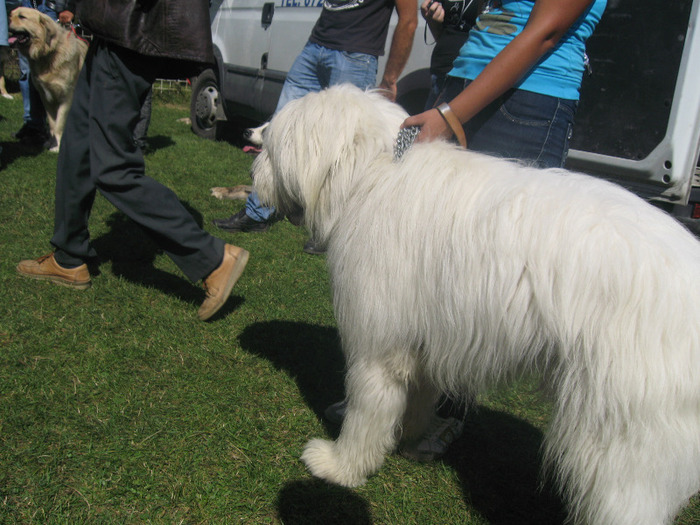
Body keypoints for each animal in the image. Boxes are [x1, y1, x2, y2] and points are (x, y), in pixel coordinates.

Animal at [9, 8, 88, 151]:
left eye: (22, 17)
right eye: (12, 15)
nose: (8, 18)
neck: (49, 53)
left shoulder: (66, 97)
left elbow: (59, 123)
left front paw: (57, 147)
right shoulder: (46, 97)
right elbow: (52, 123)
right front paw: (51, 142)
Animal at [253, 84, 700, 520]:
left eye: (269, 142)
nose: (250, 147)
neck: (370, 172)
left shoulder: (377, 344)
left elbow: (368, 413)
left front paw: (340, 466)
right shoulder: (424, 340)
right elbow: (418, 398)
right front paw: (416, 438)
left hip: (621, 437)